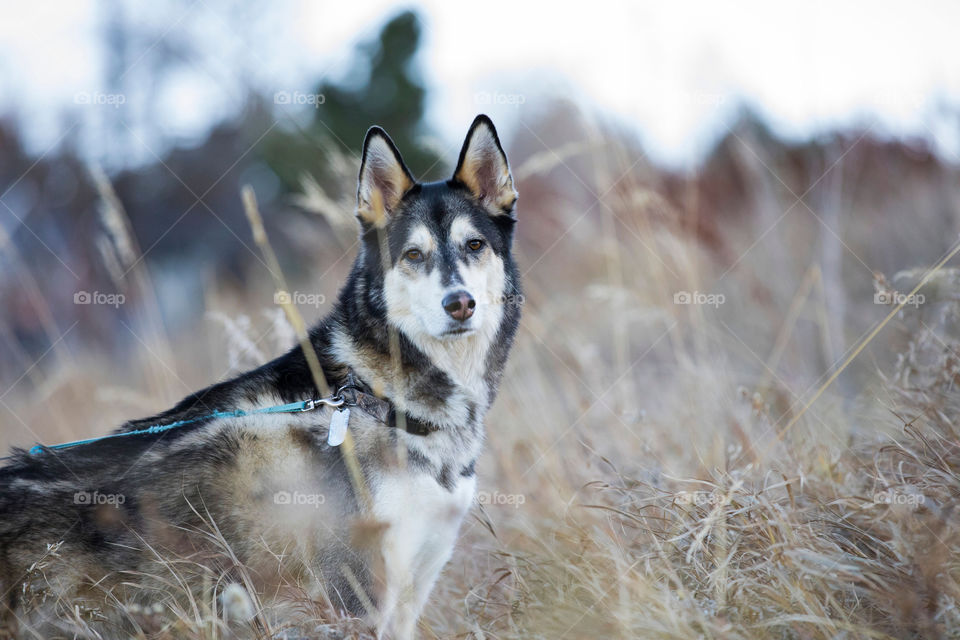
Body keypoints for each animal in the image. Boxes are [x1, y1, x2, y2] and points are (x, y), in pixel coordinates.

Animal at [0, 115, 520, 640]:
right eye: (414, 255)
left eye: (474, 245)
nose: (459, 303)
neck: (378, 399)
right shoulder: (354, 600)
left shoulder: (408, 594)